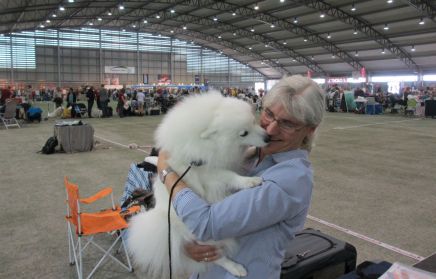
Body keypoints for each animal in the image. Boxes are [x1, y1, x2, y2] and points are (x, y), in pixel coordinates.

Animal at [126, 93, 270, 278]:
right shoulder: (209, 174)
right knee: (215, 256)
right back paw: (236, 268)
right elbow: (230, 176)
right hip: (200, 234)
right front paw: (250, 181)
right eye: (243, 133)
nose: (268, 138)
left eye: (253, 121)